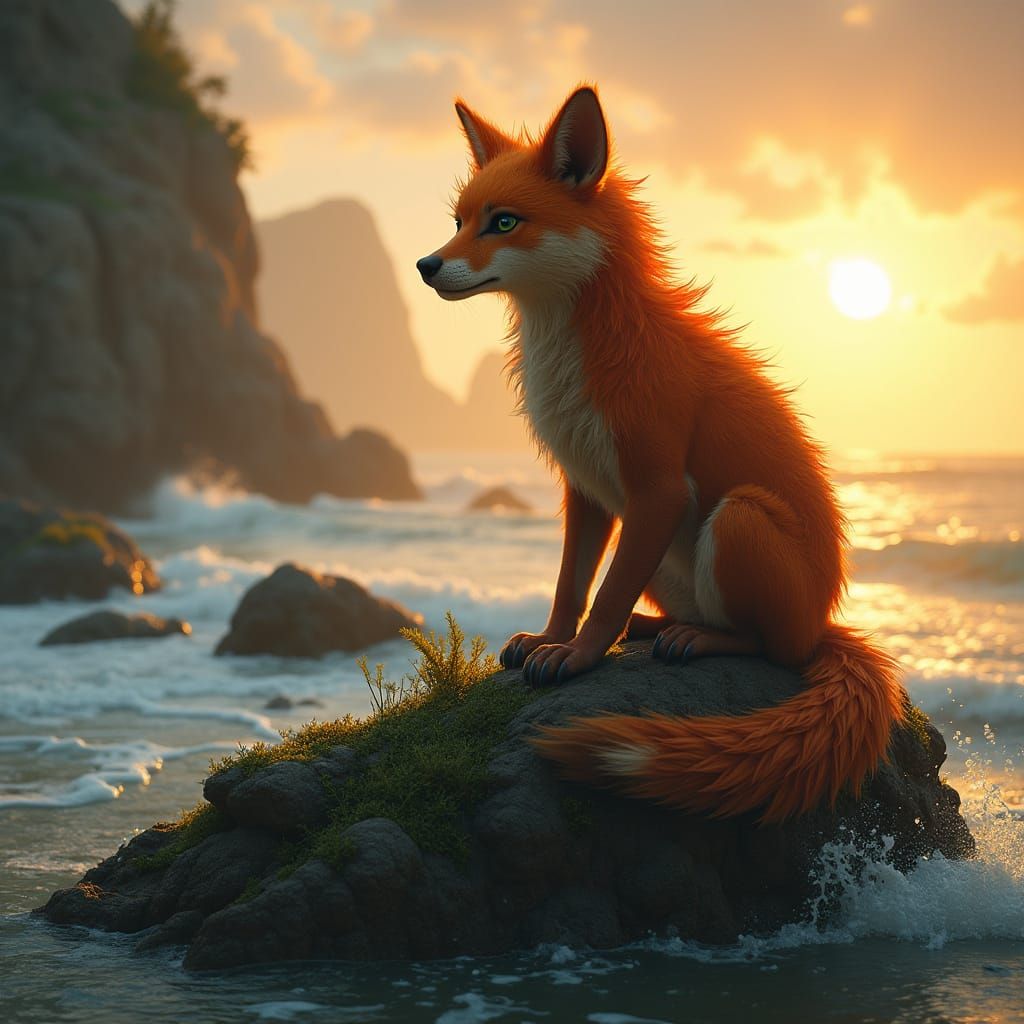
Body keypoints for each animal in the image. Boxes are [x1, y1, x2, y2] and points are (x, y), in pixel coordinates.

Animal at [416, 85, 905, 822]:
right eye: (459, 221)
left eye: (503, 222)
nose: (426, 265)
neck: (583, 354)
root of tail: (826, 620)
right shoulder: (587, 489)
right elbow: (572, 584)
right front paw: (550, 639)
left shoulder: (658, 486)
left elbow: (606, 593)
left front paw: (579, 657)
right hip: (673, 558)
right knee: (683, 612)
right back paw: (654, 629)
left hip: (738, 517)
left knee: (772, 648)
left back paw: (699, 640)